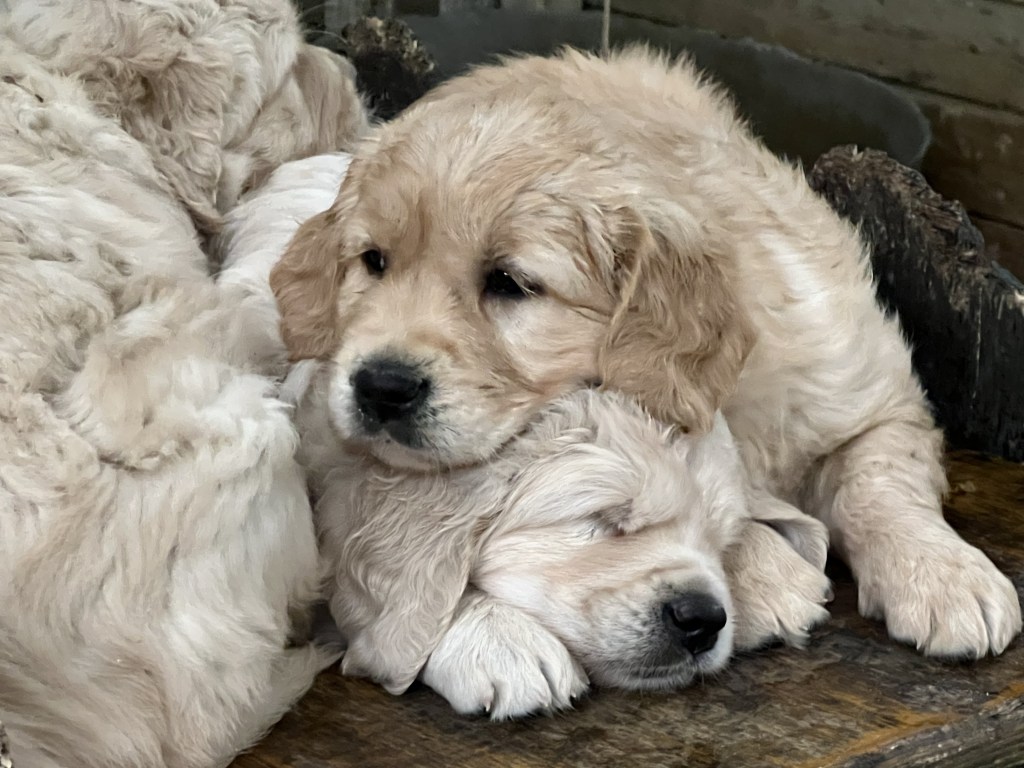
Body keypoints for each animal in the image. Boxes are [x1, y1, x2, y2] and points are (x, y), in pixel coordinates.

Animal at [270, 46, 1021, 664]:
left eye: (509, 283)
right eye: (373, 262)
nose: (380, 386)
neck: (732, 393)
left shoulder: (870, 391)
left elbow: (879, 483)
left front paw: (943, 576)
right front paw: (769, 574)